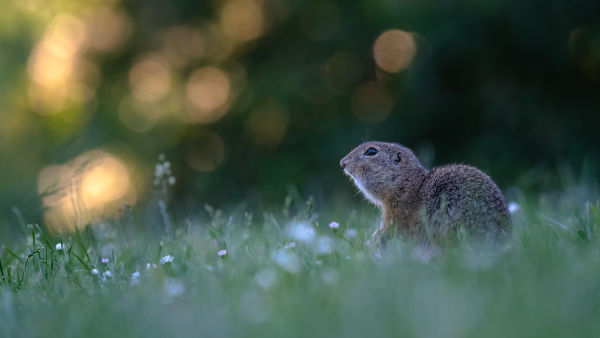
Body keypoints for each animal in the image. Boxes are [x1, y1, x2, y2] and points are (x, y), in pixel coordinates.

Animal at [340, 141, 508, 246]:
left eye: (371, 151)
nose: (342, 162)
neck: (408, 184)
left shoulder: (398, 213)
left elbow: (391, 229)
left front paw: (375, 238)